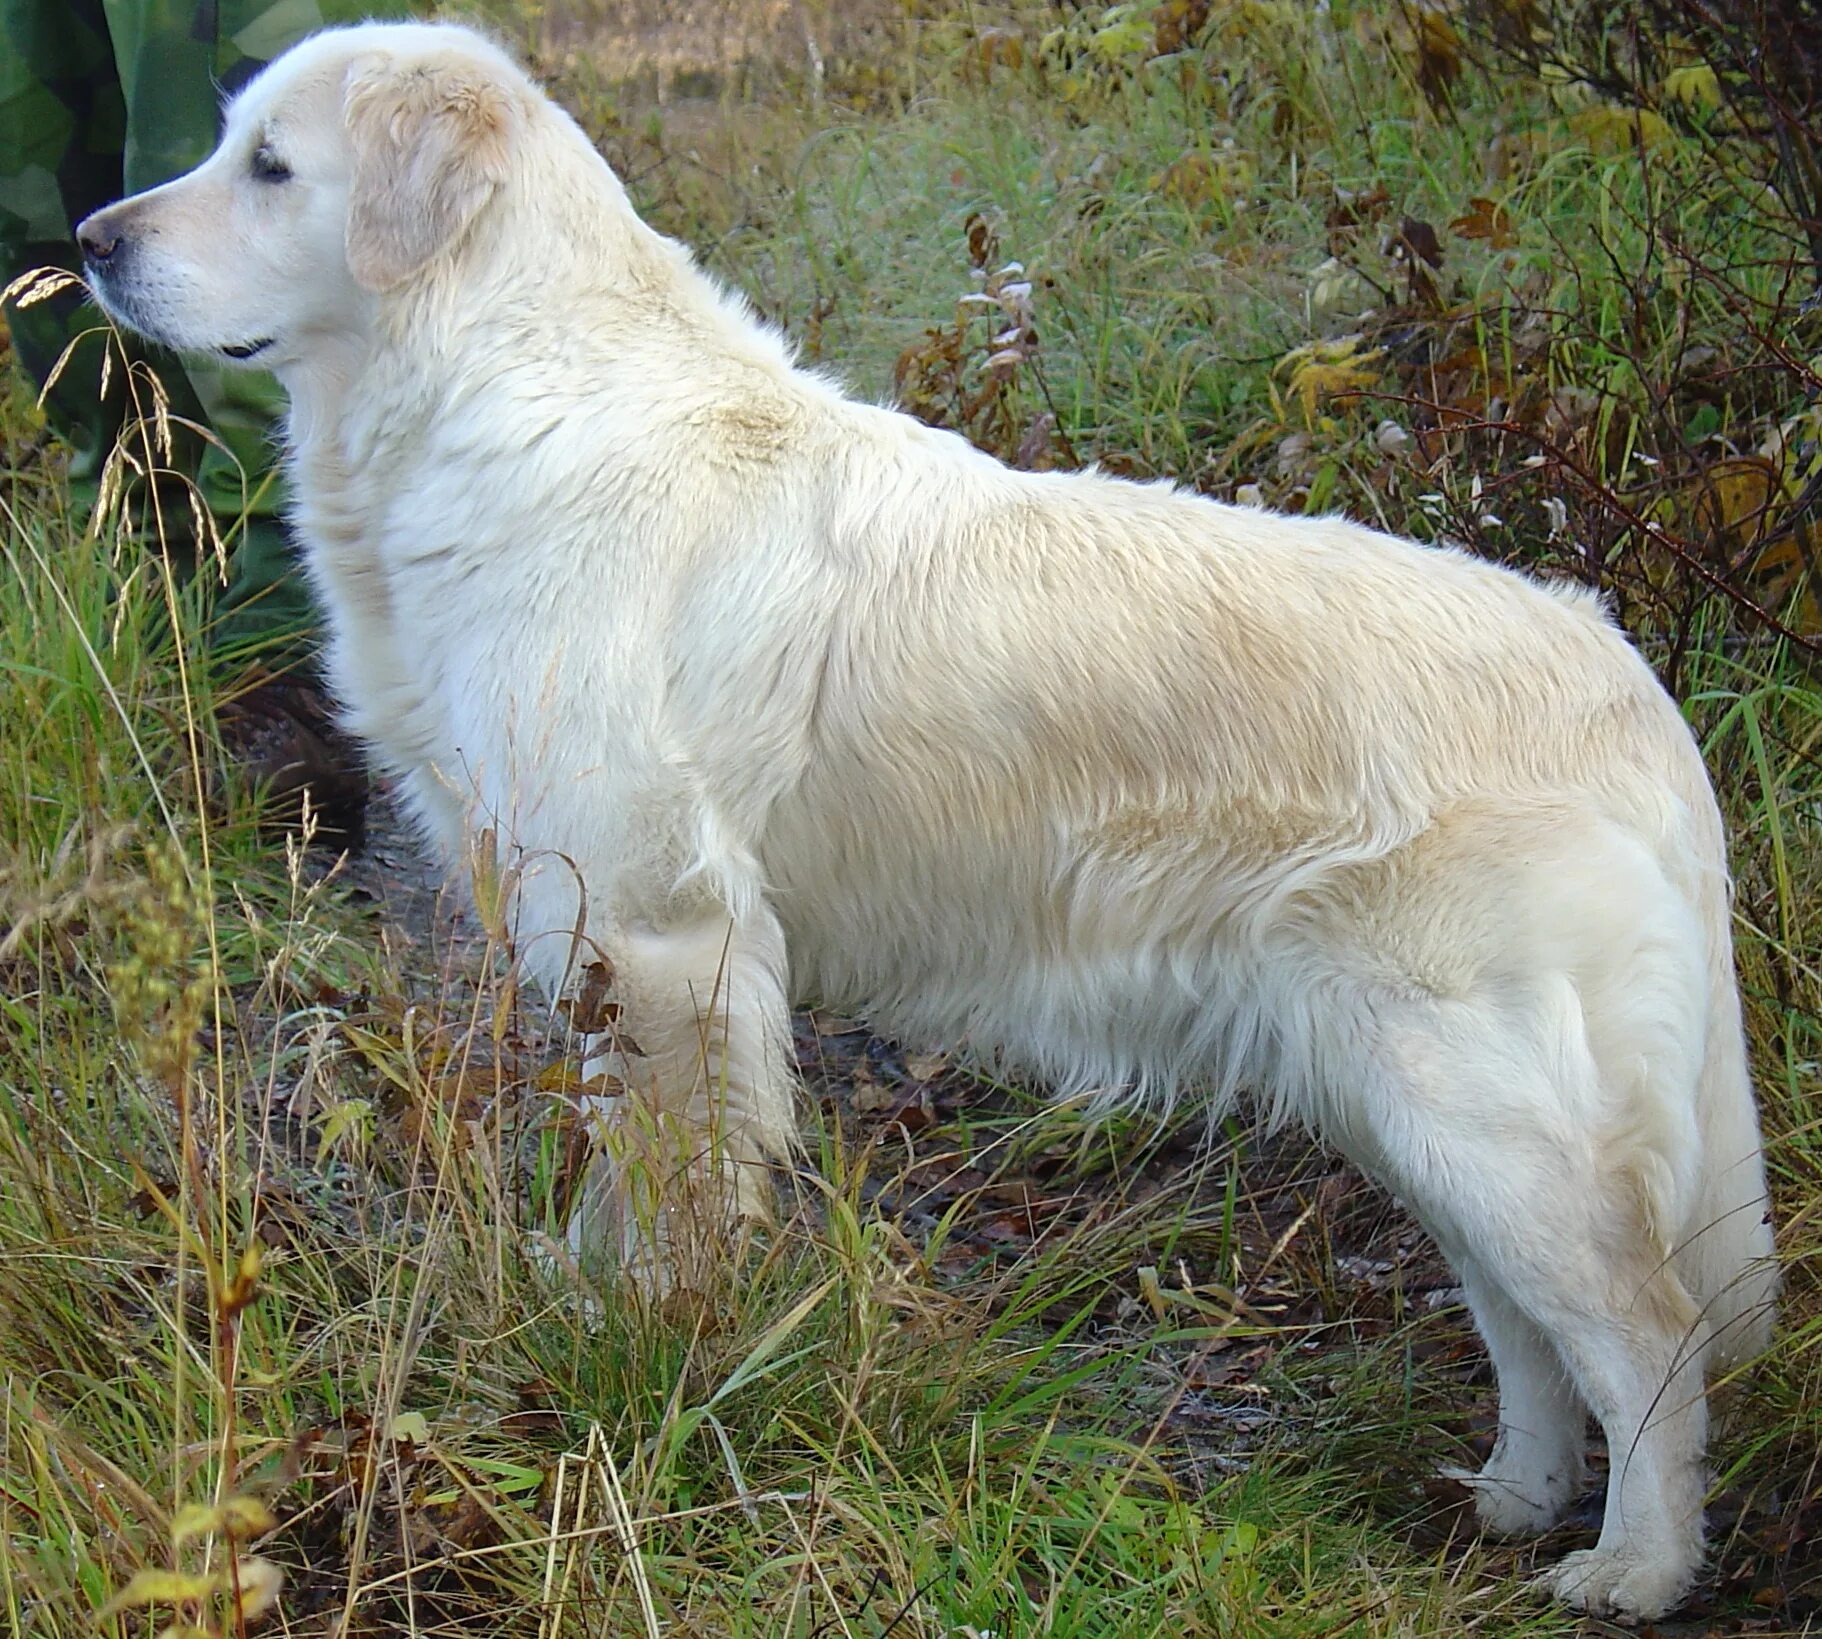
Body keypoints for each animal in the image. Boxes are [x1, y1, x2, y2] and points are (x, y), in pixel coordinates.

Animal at [78, 19, 1770, 1617]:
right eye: (226, 142)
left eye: (271, 166)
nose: (91, 239)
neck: (497, 379)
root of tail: (1617, 664)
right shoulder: (612, 940)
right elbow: (616, 1174)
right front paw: (585, 1302)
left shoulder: (666, 936)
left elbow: (664, 1201)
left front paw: (635, 1363)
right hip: (1401, 1091)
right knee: (1526, 1319)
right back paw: (1516, 1493)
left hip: (1467, 1092)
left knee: (1644, 1324)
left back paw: (1636, 1563)